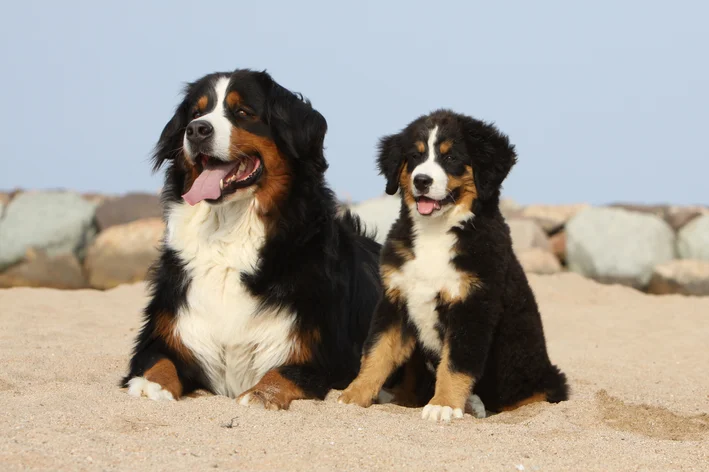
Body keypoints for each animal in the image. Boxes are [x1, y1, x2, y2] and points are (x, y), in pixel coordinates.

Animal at [121, 69, 382, 410]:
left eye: (243, 112)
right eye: (195, 113)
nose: (196, 130)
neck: (228, 236)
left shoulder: (327, 356)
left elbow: (283, 373)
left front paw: (259, 395)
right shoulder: (167, 330)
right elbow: (158, 360)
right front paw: (149, 386)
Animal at [338, 109, 568, 420]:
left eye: (450, 158)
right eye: (415, 156)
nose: (422, 180)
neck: (436, 232)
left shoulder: (473, 306)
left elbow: (456, 363)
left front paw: (443, 404)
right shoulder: (395, 301)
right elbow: (376, 352)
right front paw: (354, 394)